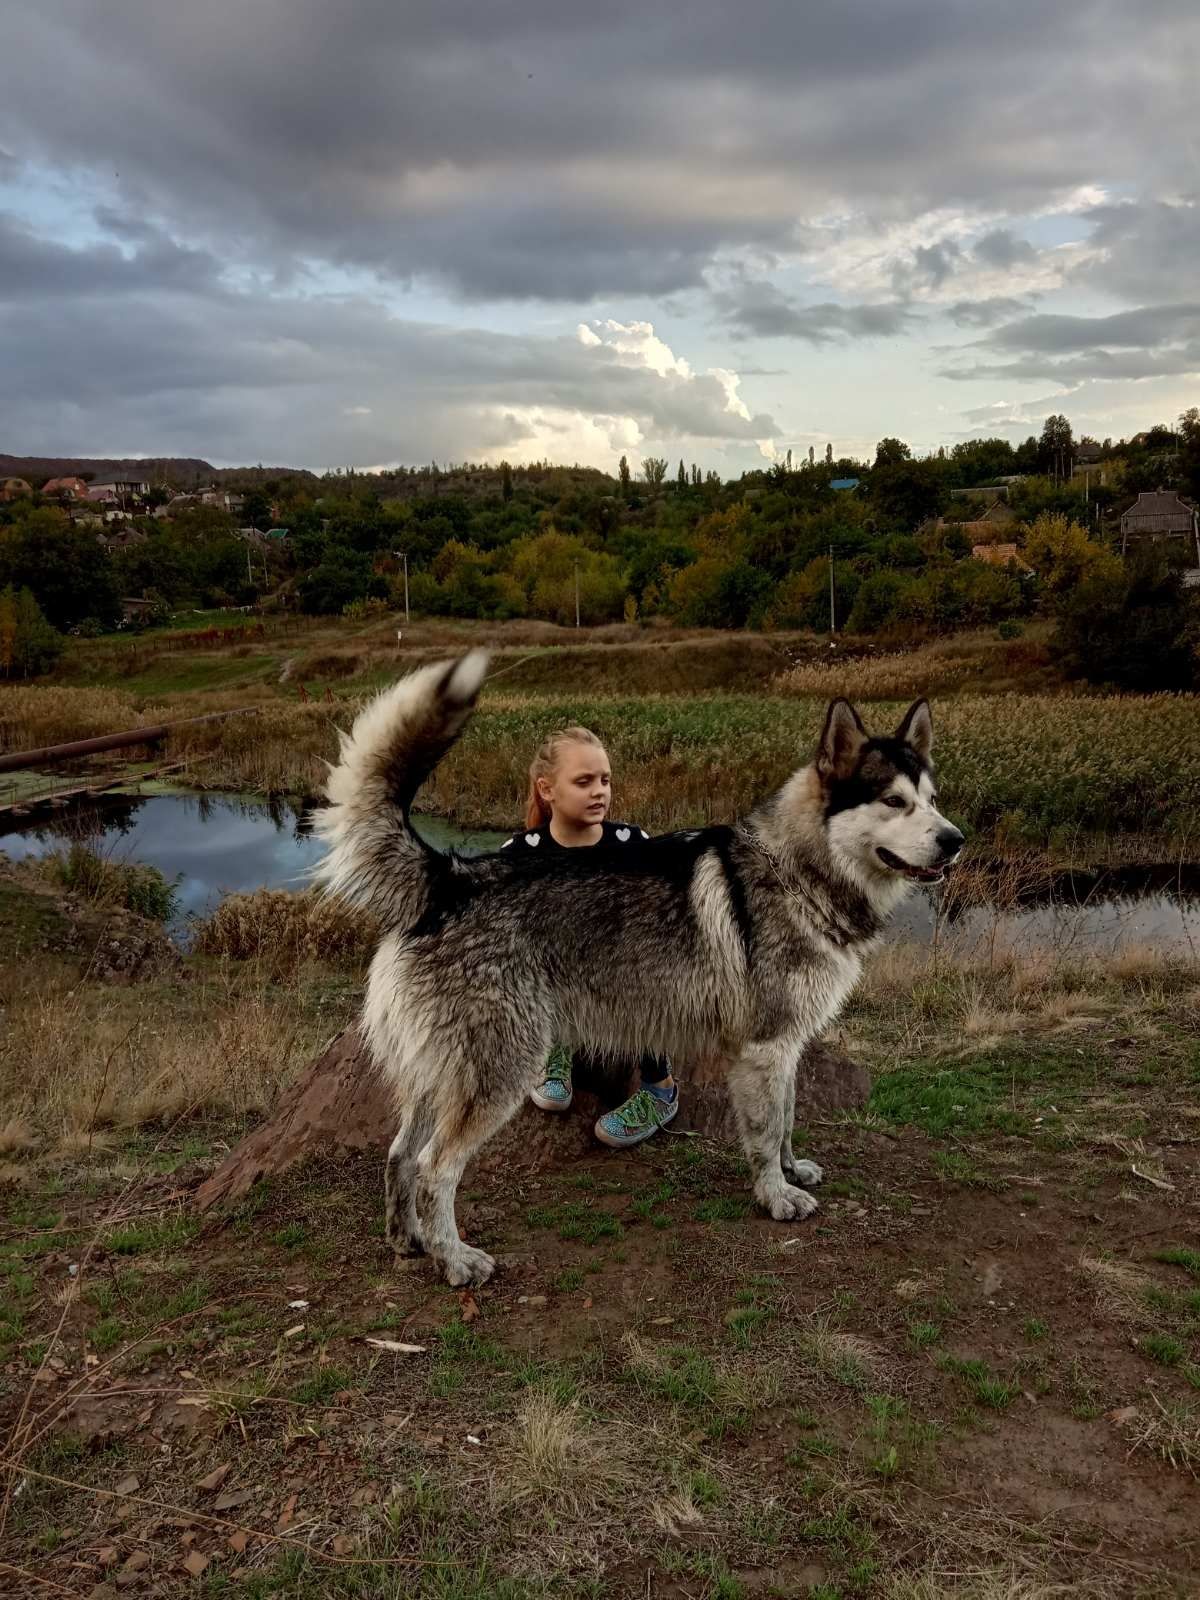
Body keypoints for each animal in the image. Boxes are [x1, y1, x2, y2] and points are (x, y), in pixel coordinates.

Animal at [312, 649, 966, 1286]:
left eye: (932, 800)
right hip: (500, 1073)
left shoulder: (784, 1049)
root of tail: (448, 878)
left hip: (439, 1077)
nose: (956, 840)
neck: (797, 871)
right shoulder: (765, 1049)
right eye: (894, 802)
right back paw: (455, 1260)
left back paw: (409, 1241)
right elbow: (763, 1133)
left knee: (399, 1154)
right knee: (432, 1168)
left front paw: (791, 1171)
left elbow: (784, 1121)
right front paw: (775, 1196)